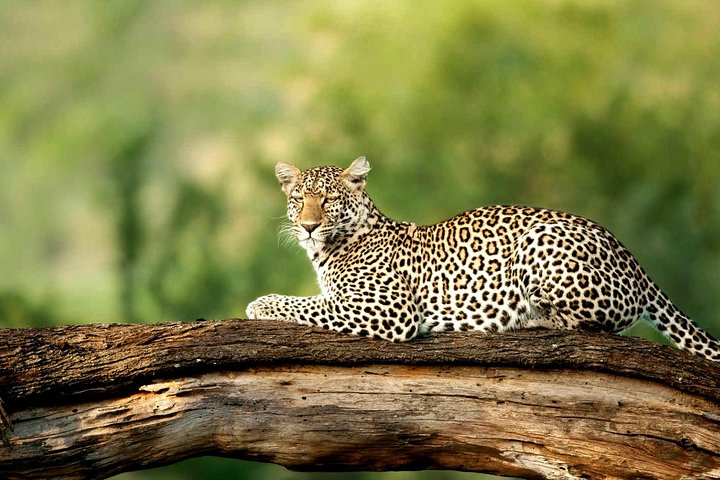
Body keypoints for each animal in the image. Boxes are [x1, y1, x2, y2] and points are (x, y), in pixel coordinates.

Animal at [247, 156, 720, 362]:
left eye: (328, 200)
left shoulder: (388, 311)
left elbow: (304, 304)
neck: (327, 249)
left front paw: (258, 304)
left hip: (539, 242)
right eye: (298, 199)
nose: (308, 226)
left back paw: (523, 319)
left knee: (594, 323)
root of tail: (631, 255)